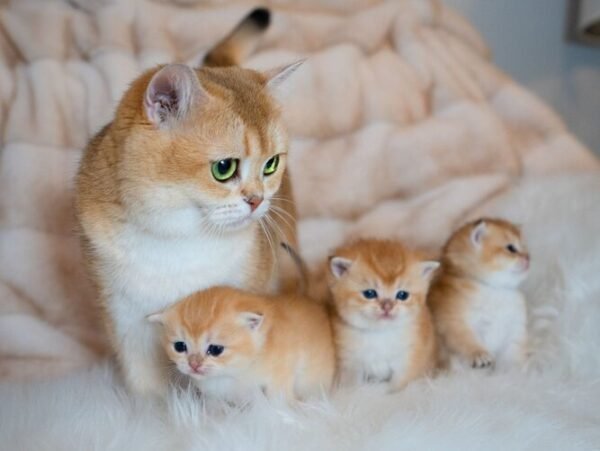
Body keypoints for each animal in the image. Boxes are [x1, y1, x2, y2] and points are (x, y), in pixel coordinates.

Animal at [73, 8, 302, 398]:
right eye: (224, 168)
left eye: (271, 164)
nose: (257, 201)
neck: (179, 242)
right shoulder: (125, 321)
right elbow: (147, 390)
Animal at [148, 286, 336, 402]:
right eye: (180, 347)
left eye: (215, 349)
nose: (194, 364)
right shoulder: (213, 396)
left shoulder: (282, 370)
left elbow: (278, 398)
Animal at [328, 240, 440, 392]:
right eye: (369, 293)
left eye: (402, 295)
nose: (387, 307)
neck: (379, 333)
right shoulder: (351, 362)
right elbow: (352, 386)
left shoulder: (408, 361)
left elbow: (396, 386)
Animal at [426, 218, 528, 370]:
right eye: (511, 248)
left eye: (524, 248)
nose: (528, 258)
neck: (494, 288)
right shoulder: (454, 322)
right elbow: (465, 340)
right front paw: (479, 355)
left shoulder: (514, 327)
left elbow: (513, 352)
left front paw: (514, 370)